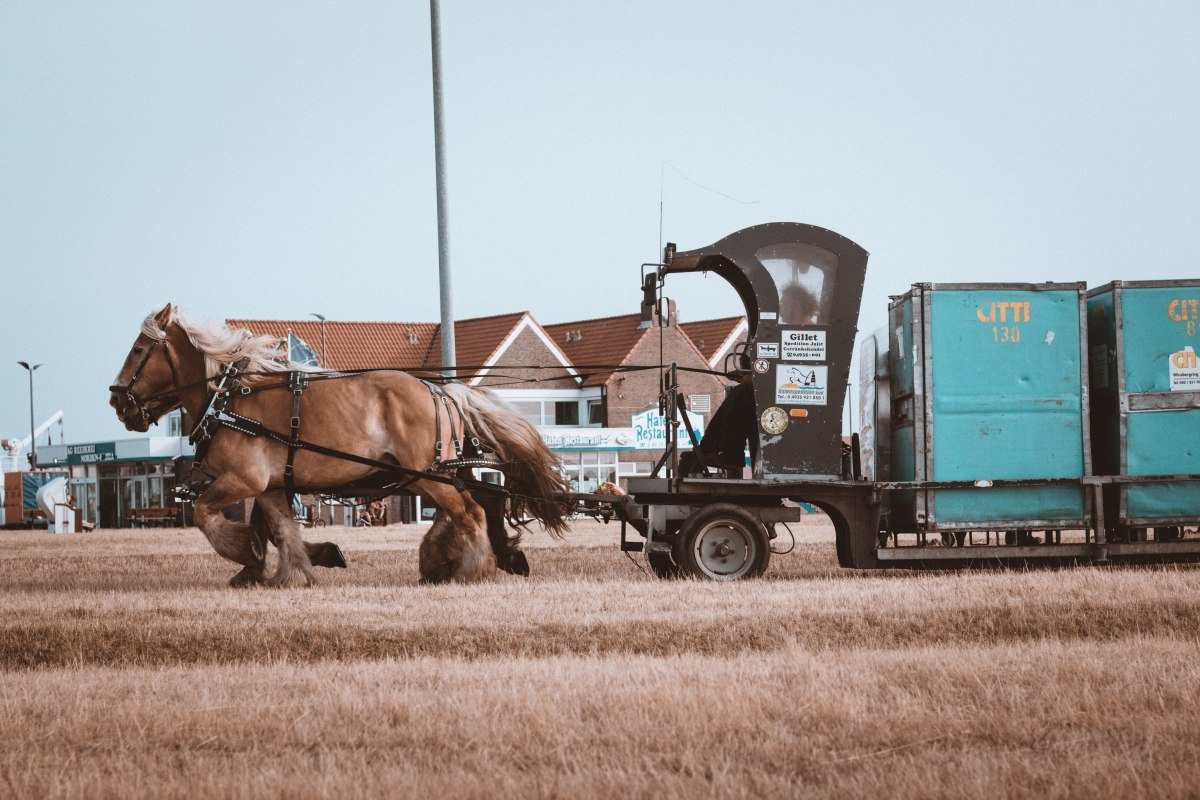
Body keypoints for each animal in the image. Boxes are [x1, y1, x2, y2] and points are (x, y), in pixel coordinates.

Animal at [109, 303, 571, 585]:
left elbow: (206, 514)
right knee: (473, 507)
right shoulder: (271, 486)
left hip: (426, 474)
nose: (117, 401)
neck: (230, 398)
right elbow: (283, 529)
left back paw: (471, 569)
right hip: (427, 475)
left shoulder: (244, 479)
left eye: (138, 350)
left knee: (470, 511)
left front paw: (244, 551)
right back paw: (454, 560)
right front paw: (292, 572)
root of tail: (440, 391)